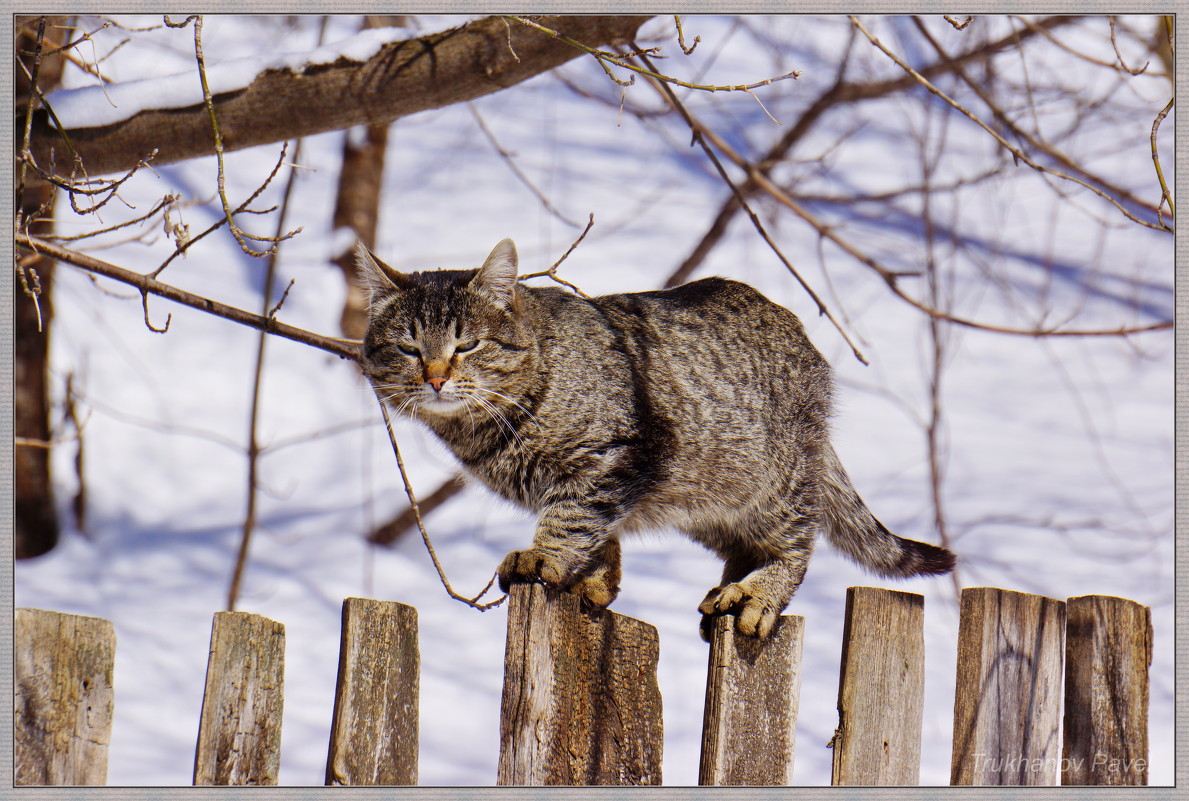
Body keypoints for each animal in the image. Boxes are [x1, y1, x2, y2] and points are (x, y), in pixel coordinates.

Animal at [354, 237, 955, 636]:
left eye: (467, 345)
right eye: (408, 348)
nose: (435, 378)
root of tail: (805, 342)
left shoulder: (616, 456)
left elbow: (573, 514)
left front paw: (547, 556)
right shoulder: (610, 479)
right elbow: (597, 526)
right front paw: (595, 576)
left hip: (773, 487)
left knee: (797, 542)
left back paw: (757, 594)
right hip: (706, 501)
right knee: (743, 544)